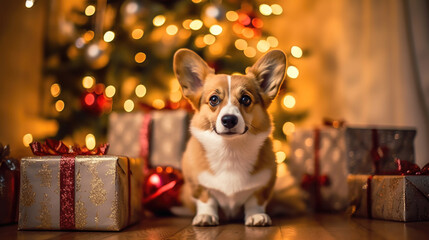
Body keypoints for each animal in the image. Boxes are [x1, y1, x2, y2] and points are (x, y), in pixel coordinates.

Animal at [172, 49, 286, 227]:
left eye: (246, 99)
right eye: (213, 99)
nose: (229, 120)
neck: (230, 150)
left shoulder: (264, 186)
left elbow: (255, 202)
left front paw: (256, 216)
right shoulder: (197, 185)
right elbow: (207, 200)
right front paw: (205, 216)